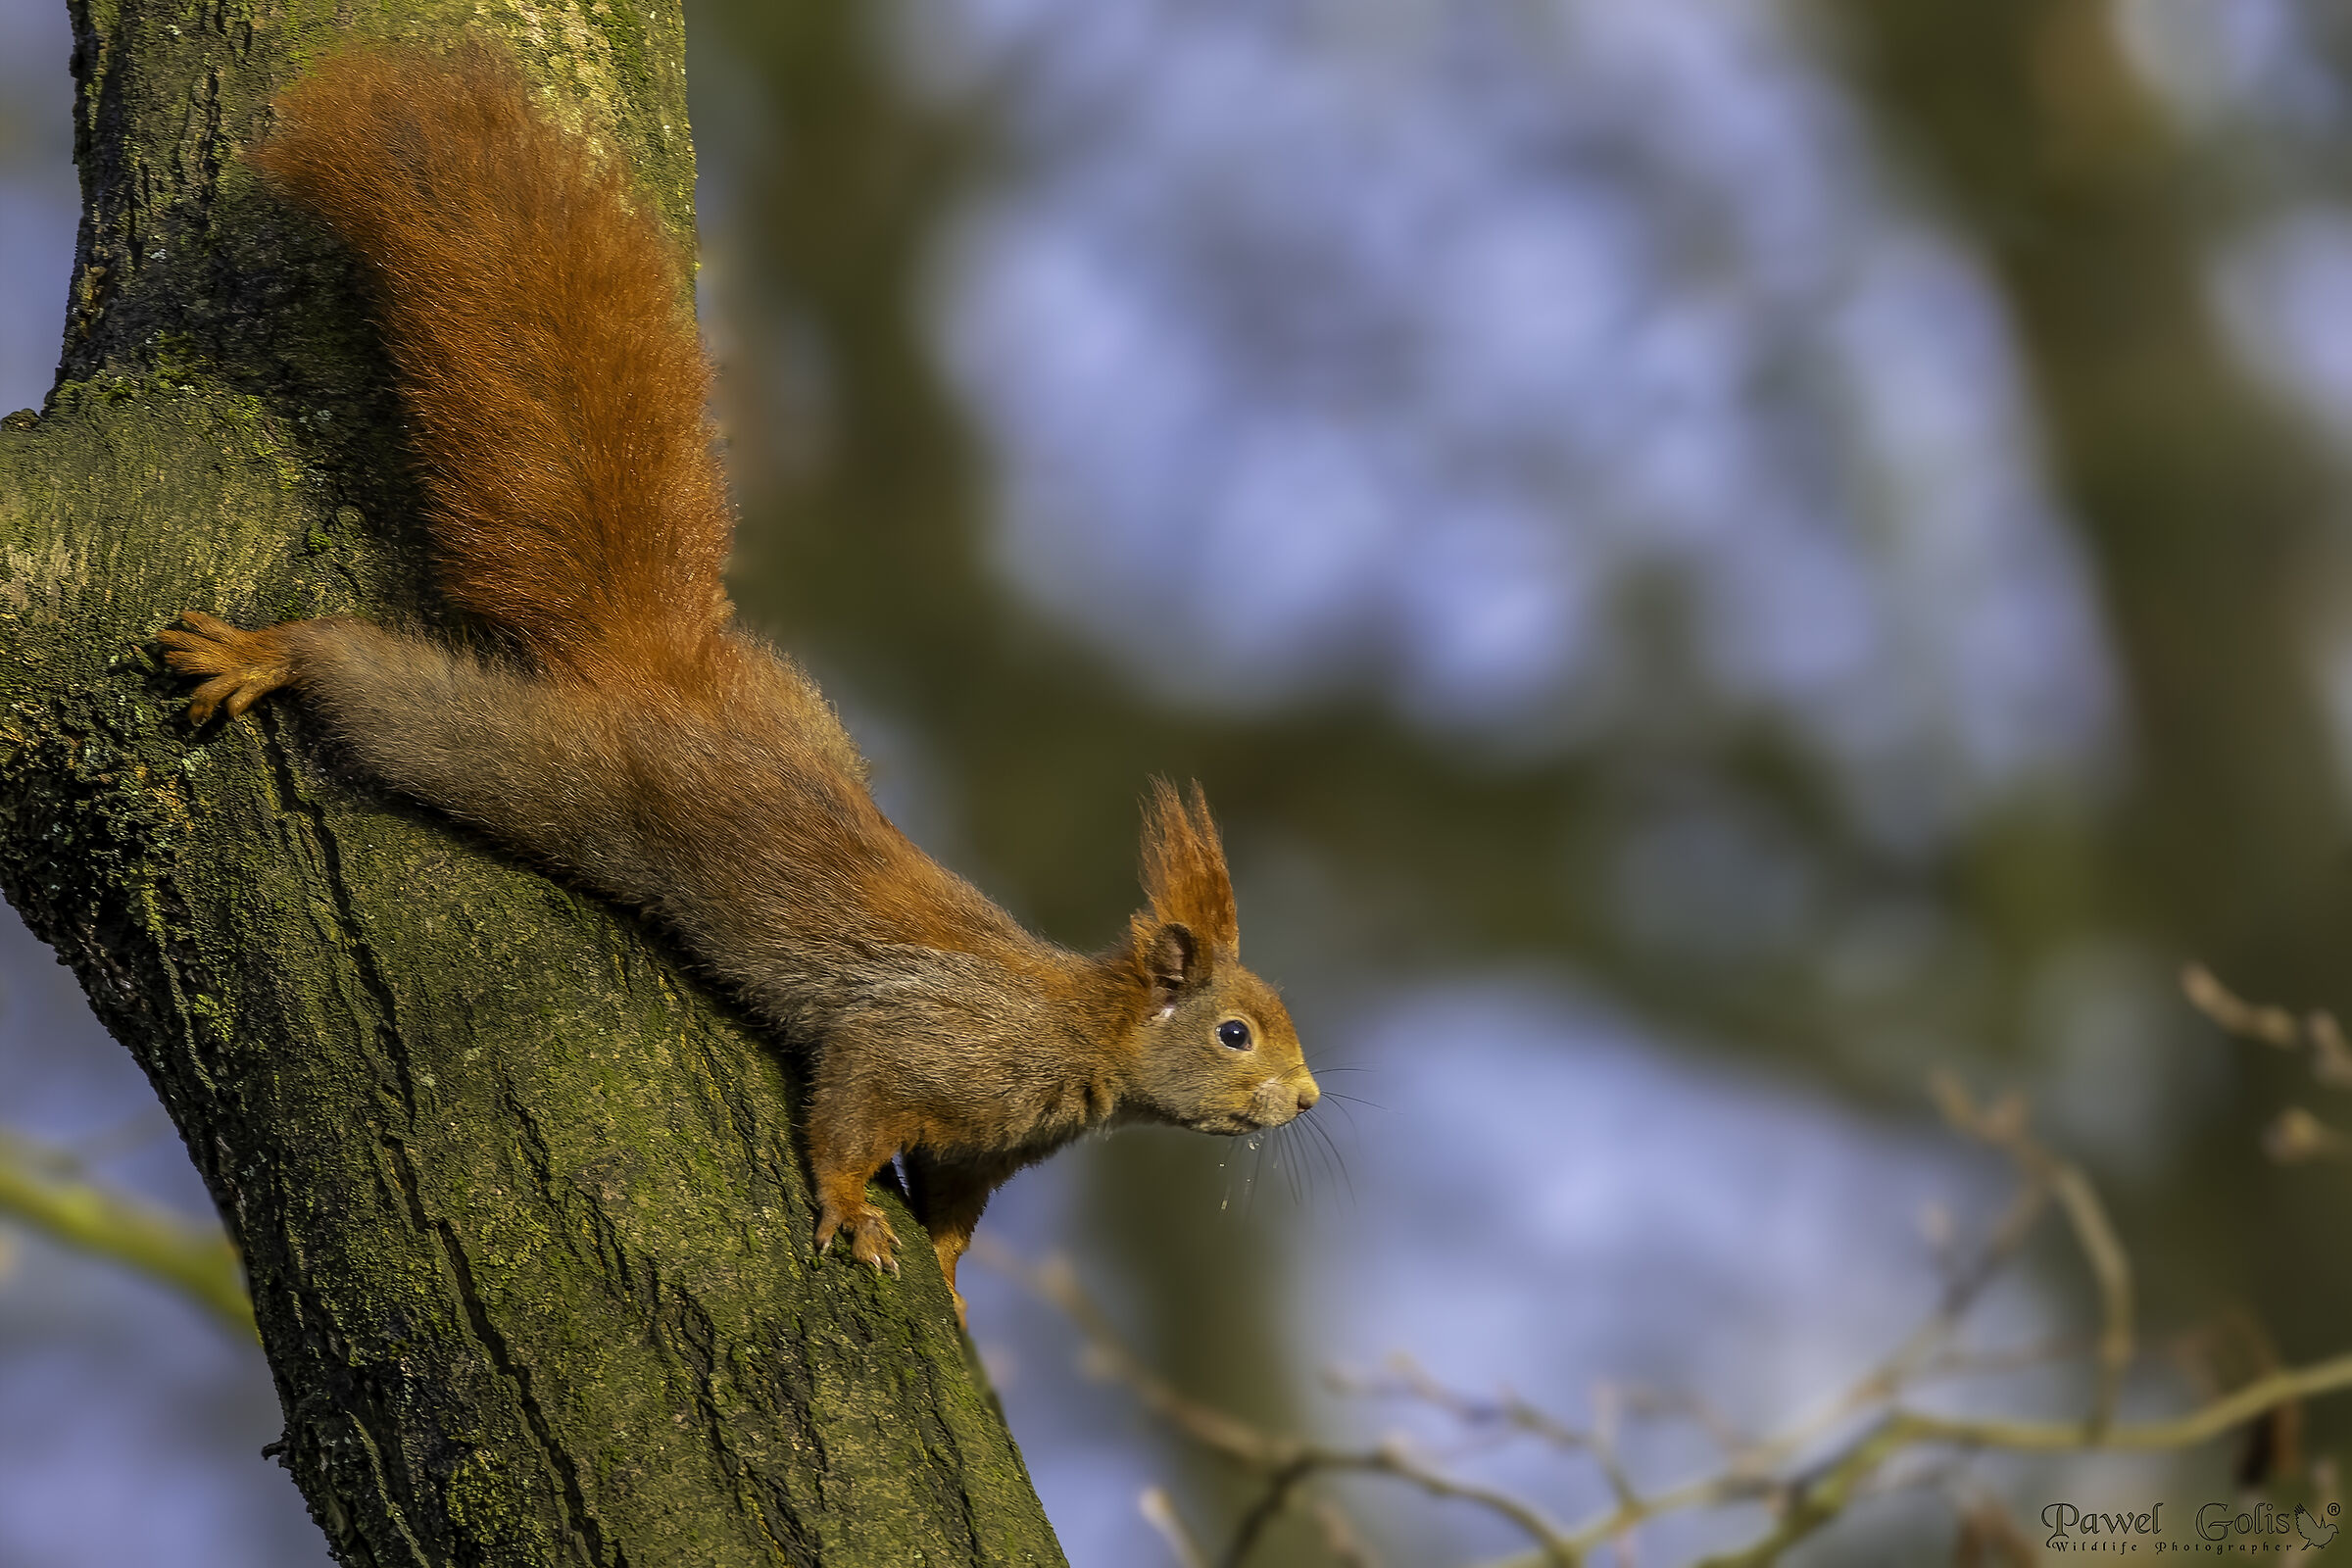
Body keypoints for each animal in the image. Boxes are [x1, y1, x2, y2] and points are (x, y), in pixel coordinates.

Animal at [157, 40, 1318, 1319]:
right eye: (1235, 1034)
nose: (1309, 1099)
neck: (1088, 1033)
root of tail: (664, 661)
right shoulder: (933, 1038)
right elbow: (853, 1098)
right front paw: (850, 1207)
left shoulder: (990, 1141)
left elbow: (953, 1202)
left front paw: (953, 1275)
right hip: (557, 771)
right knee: (401, 707)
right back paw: (271, 653)